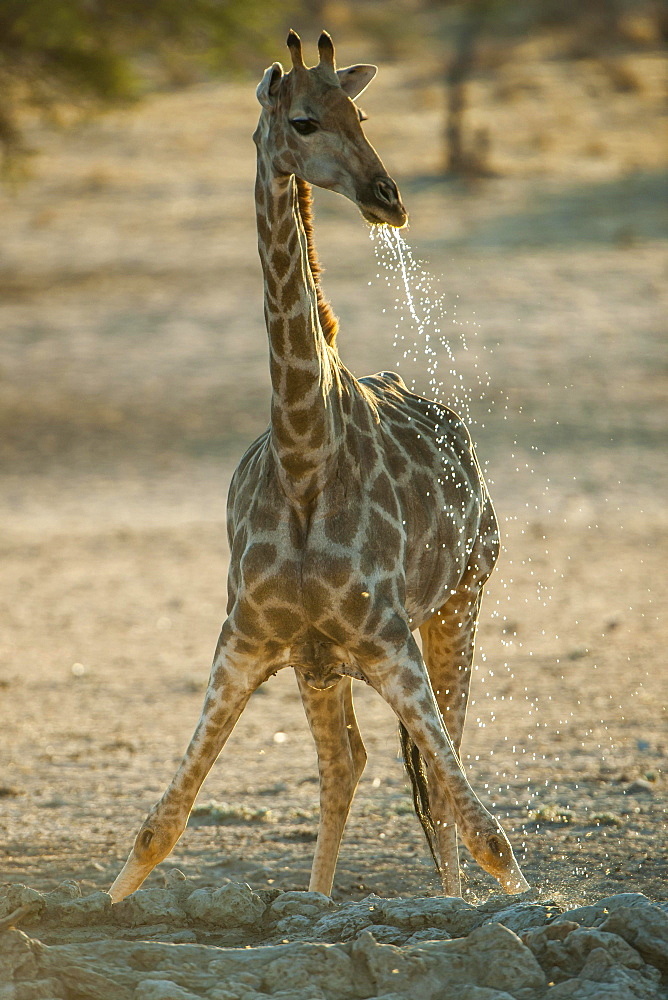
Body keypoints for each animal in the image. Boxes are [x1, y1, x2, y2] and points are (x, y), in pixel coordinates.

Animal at [108, 31, 528, 904]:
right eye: (303, 120)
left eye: (361, 115)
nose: (389, 197)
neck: (304, 453)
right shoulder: (244, 639)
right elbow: (159, 826)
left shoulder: (390, 637)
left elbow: (488, 831)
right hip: (322, 661)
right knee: (350, 764)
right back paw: (319, 898)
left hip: (460, 602)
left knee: (438, 775)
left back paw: (443, 899)